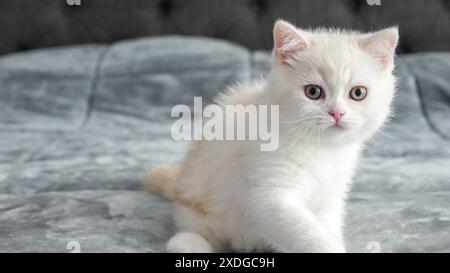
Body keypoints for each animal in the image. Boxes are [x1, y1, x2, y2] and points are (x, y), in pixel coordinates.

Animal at [143, 20, 398, 252]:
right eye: (313, 92)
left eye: (358, 93)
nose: (337, 112)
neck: (321, 149)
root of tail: (179, 181)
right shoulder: (269, 196)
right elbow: (307, 233)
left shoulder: (330, 195)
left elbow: (326, 225)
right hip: (201, 201)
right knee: (193, 230)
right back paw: (190, 243)